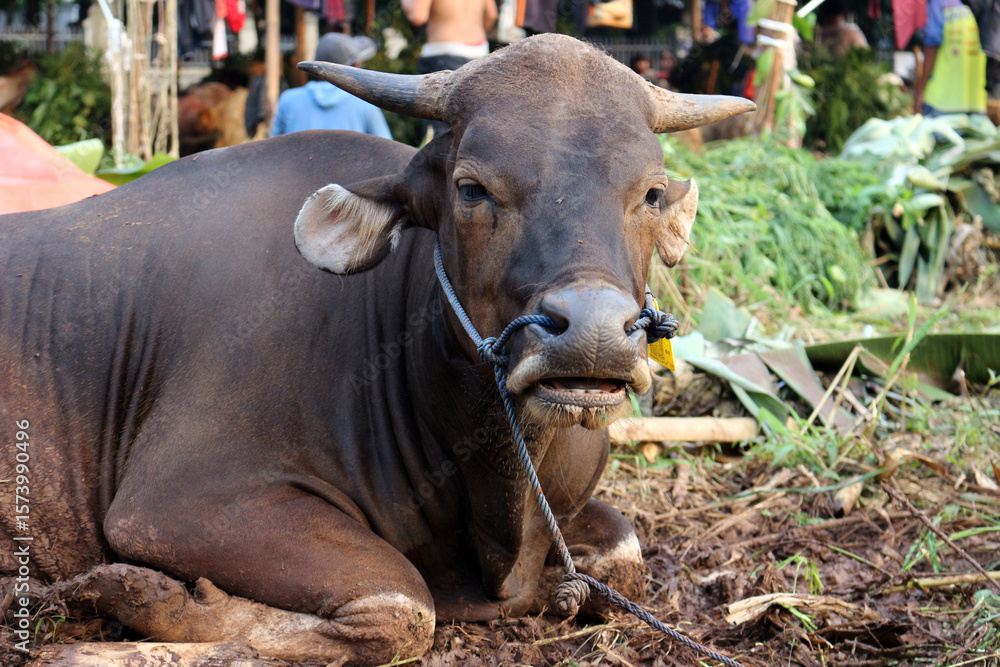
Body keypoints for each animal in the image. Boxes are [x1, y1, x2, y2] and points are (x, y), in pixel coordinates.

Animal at [0, 34, 752, 664]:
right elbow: (402, 601)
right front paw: (134, 606)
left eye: (650, 193)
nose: (593, 331)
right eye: (471, 188)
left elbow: (626, 555)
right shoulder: (174, 501)